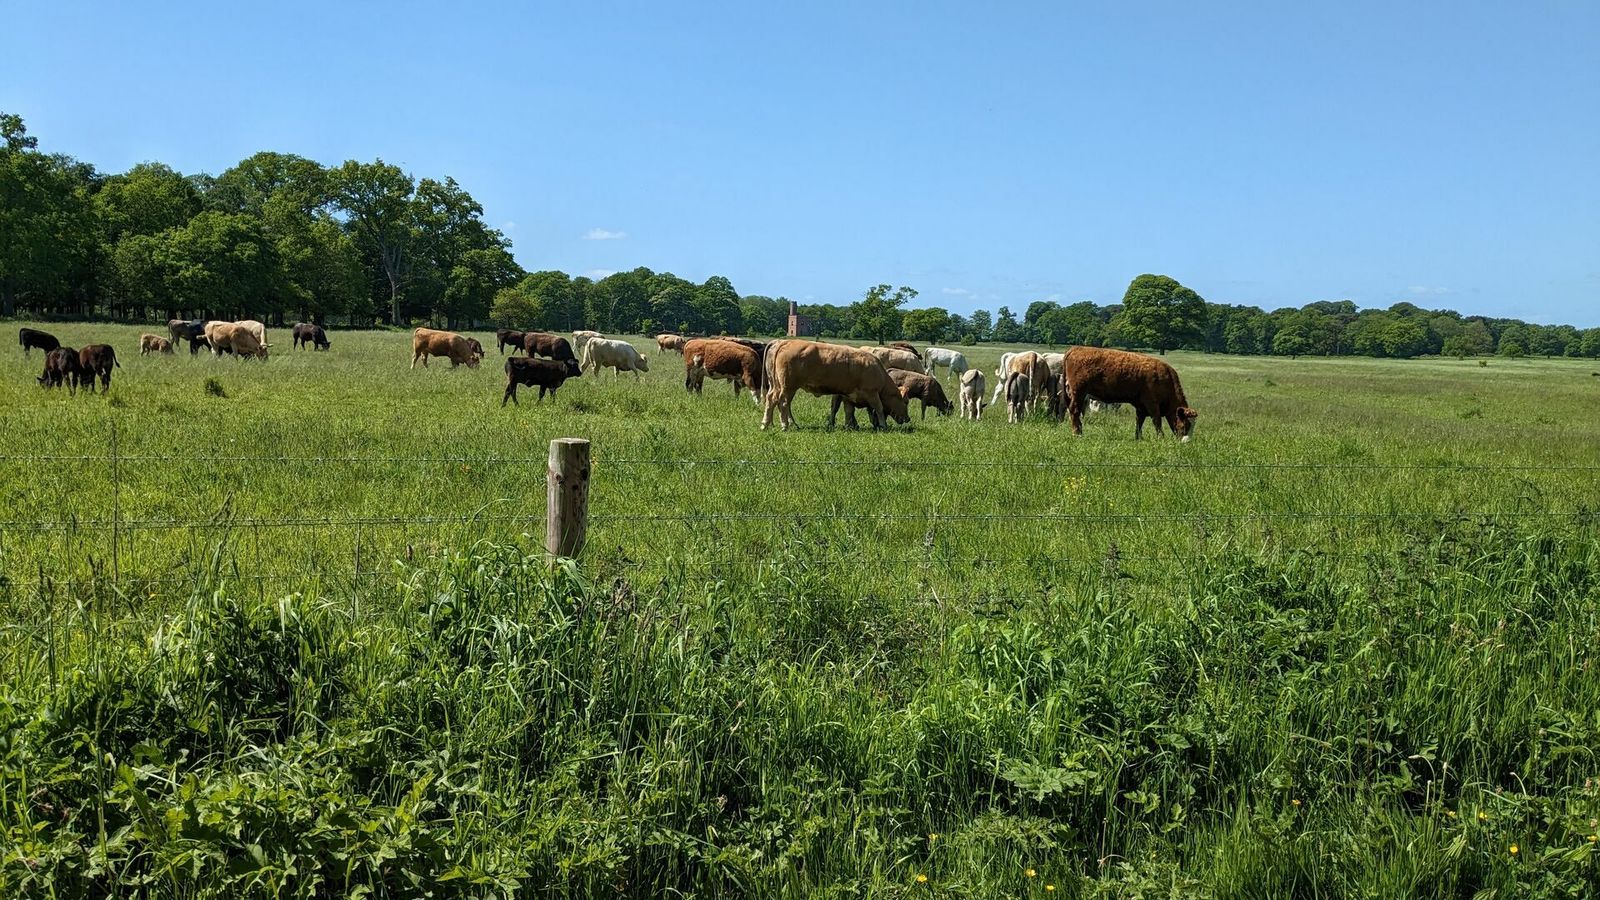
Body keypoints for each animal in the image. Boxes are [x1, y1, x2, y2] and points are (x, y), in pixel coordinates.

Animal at [761, 339, 910, 431]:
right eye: (905, 402)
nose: (908, 419)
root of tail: (785, 342)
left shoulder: (848, 395)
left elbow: (848, 411)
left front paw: (849, 426)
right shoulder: (872, 393)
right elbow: (879, 408)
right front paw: (883, 426)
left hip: (779, 385)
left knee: (772, 400)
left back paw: (767, 424)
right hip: (788, 386)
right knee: (783, 403)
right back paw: (784, 425)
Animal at [1061, 346, 1198, 440]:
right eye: (1185, 424)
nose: (1186, 442)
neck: (1165, 378)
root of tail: (1075, 349)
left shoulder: (1141, 406)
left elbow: (1139, 422)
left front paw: (1138, 438)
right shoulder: (1152, 404)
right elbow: (1157, 420)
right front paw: (1160, 438)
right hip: (1079, 392)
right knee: (1074, 410)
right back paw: (1077, 433)